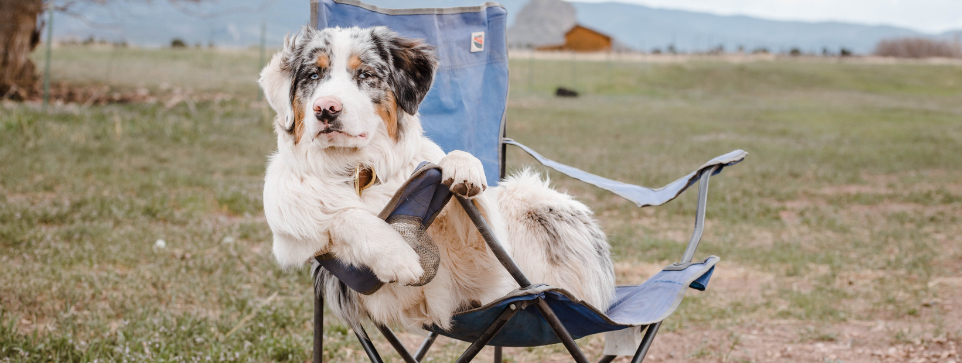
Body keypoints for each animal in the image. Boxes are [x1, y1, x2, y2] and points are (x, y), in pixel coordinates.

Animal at [256, 25, 616, 332]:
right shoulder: (292, 241)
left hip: (529, 197)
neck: (359, 171)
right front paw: (397, 254)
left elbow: (457, 181)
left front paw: (462, 166)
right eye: (313, 75)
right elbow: (345, 216)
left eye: (366, 74)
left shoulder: (481, 275)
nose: (325, 108)